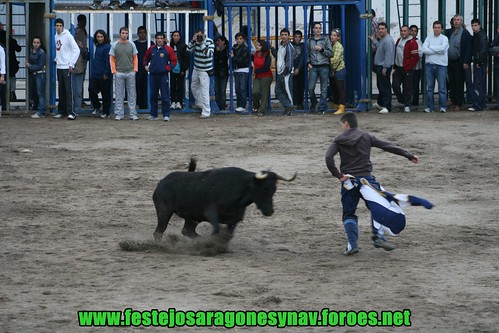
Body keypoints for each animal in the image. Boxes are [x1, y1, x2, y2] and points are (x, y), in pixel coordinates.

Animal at [150, 159, 294, 241]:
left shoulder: (235, 219)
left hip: (191, 217)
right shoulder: (211, 213)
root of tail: (161, 182)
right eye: (264, 189)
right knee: (159, 232)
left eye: (274, 190)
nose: (269, 211)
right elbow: (217, 230)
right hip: (164, 211)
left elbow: (227, 234)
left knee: (187, 231)